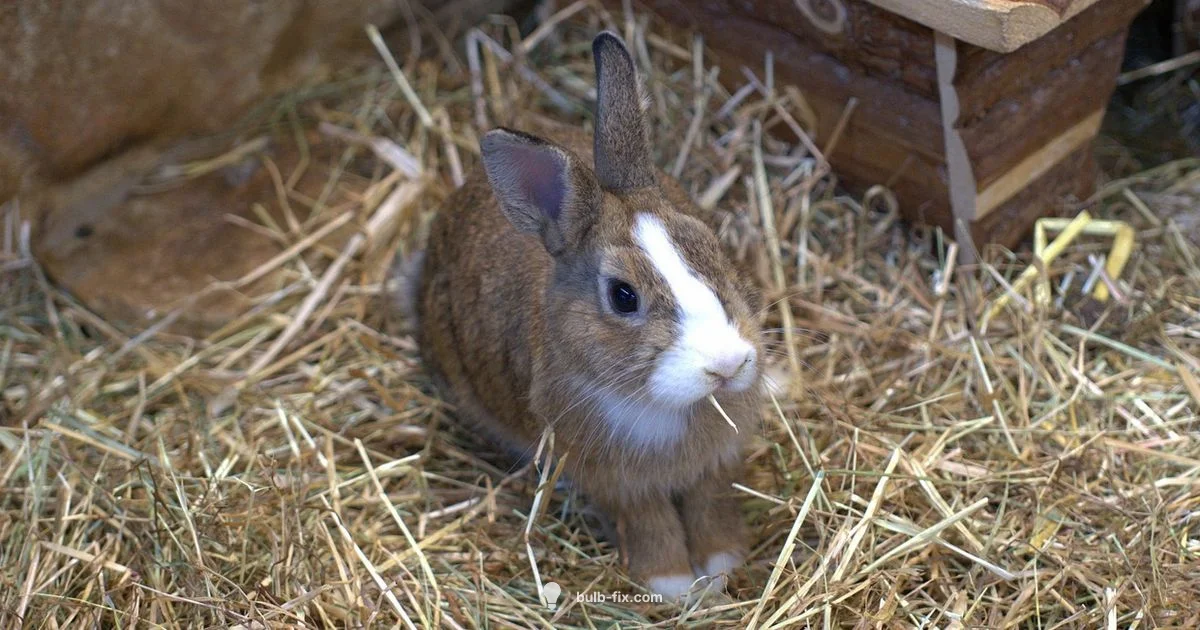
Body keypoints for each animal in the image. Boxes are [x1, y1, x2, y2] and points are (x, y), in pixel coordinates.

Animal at [412, 31, 764, 599]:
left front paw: (722, 566)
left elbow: (711, 508)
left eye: (712, 245)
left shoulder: (714, 467)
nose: (728, 365)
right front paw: (672, 584)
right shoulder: (617, 483)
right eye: (623, 296)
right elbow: (650, 524)